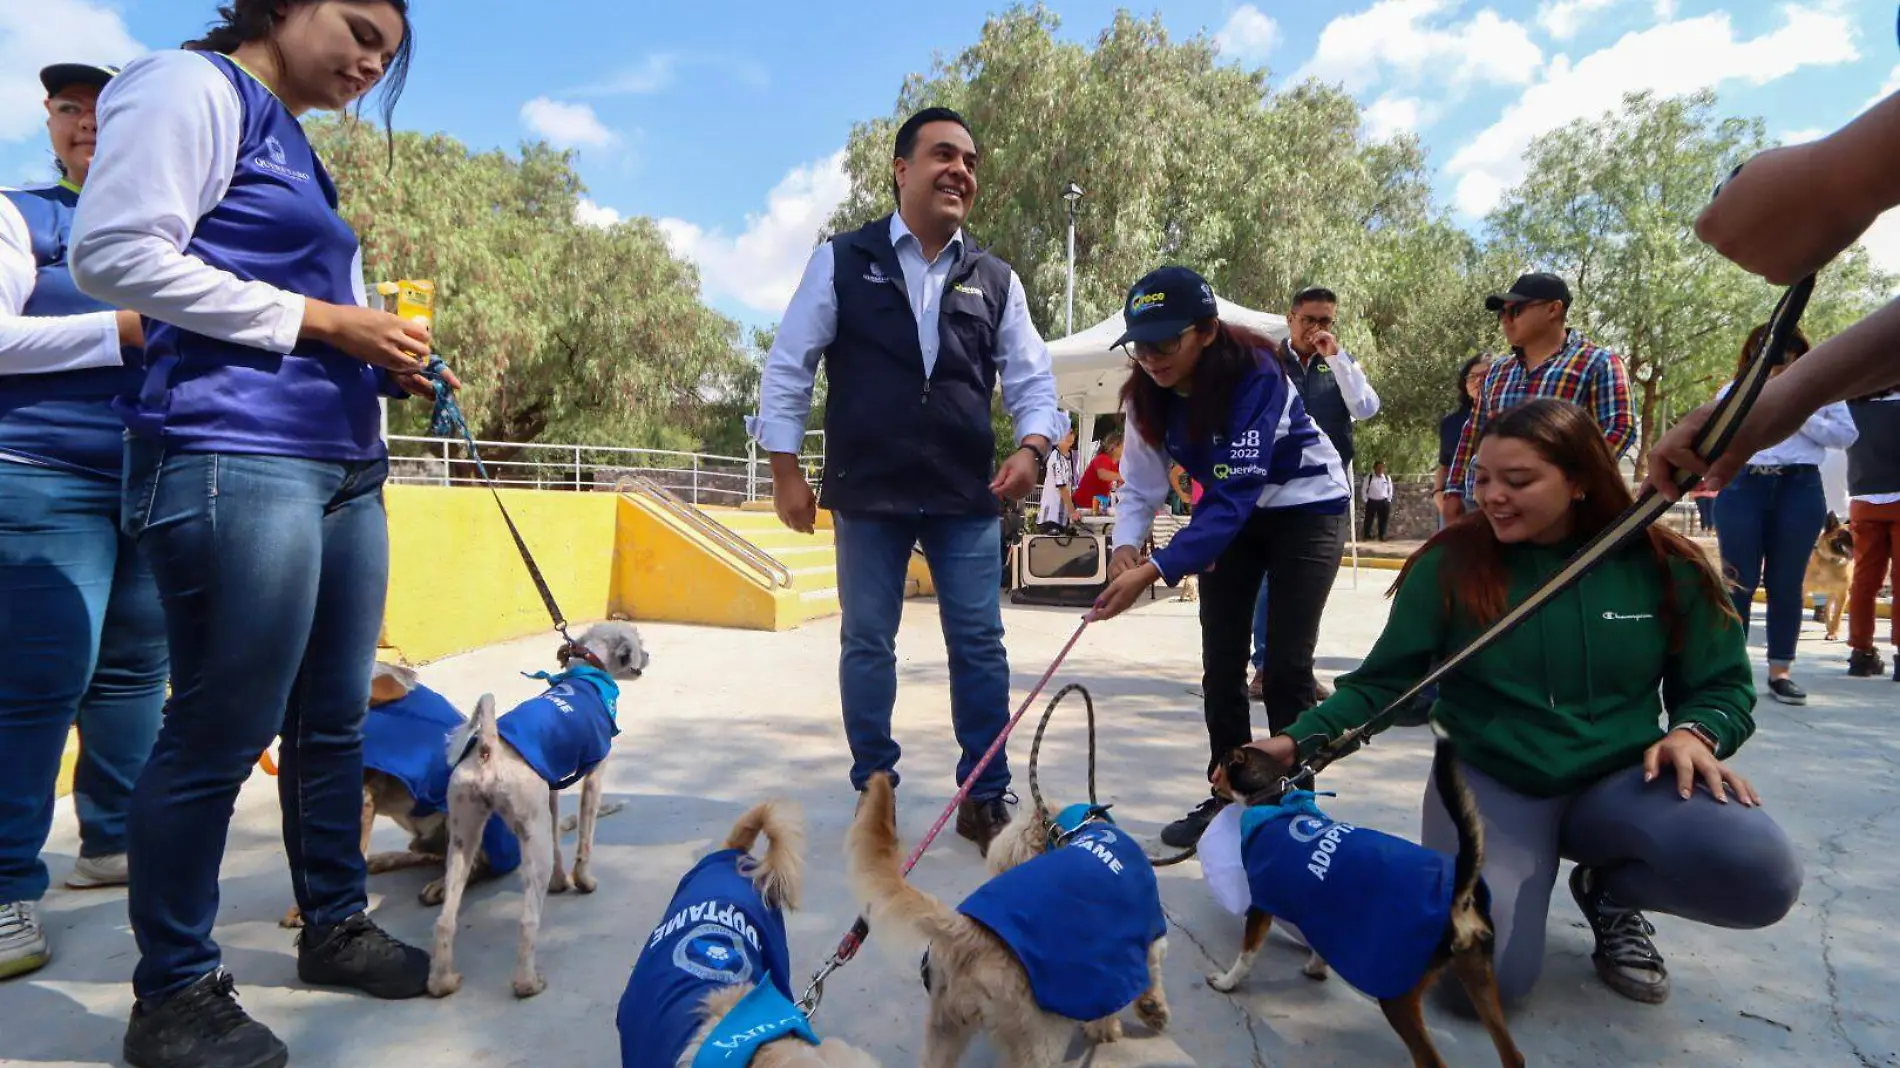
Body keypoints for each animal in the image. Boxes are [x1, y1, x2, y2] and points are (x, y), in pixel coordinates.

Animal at [427, 615, 649, 995]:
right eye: (638, 642)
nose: (648, 656)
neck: (588, 672)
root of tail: (488, 748)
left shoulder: (553, 789)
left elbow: (562, 839)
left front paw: (561, 882)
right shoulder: (594, 776)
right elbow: (585, 839)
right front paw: (583, 881)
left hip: (464, 836)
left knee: (445, 919)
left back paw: (443, 982)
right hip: (531, 840)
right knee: (527, 921)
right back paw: (527, 983)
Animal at [851, 767, 1170, 1056]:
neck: (1078, 829)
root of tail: (969, 933)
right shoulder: (1139, 940)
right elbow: (1150, 974)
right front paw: (1142, 1012)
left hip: (946, 1027)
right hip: (1039, 1038)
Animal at [1208, 729, 1520, 1064]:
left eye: (1222, 764)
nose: (1210, 780)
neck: (1277, 801)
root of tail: (1459, 893)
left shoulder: (1262, 904)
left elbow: (1246, 955)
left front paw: (1227, 982)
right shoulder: (1320, 905)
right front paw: (1317, 968)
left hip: (1398, 993)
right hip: (1479, 976)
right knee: (1513, 1056)